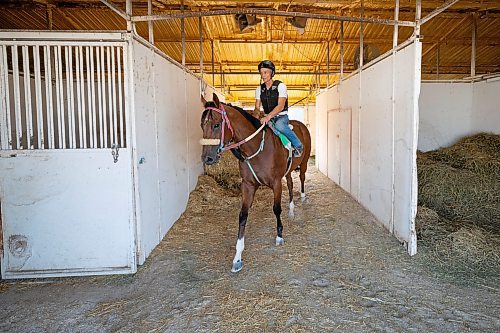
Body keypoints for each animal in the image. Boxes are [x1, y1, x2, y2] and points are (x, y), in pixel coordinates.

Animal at [200, 92, 310, 272]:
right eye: (202, 125)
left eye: (216, 125)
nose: (207, 158)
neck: (256, 146)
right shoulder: (248, 186)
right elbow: (243, 215)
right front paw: (237, 257)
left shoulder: (276, 183)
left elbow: (276, 209)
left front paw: (279, 236)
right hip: (288, 171)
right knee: (290, 184)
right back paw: (292, 211)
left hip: (304, 162)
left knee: (301, 179)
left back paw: (302, 198)